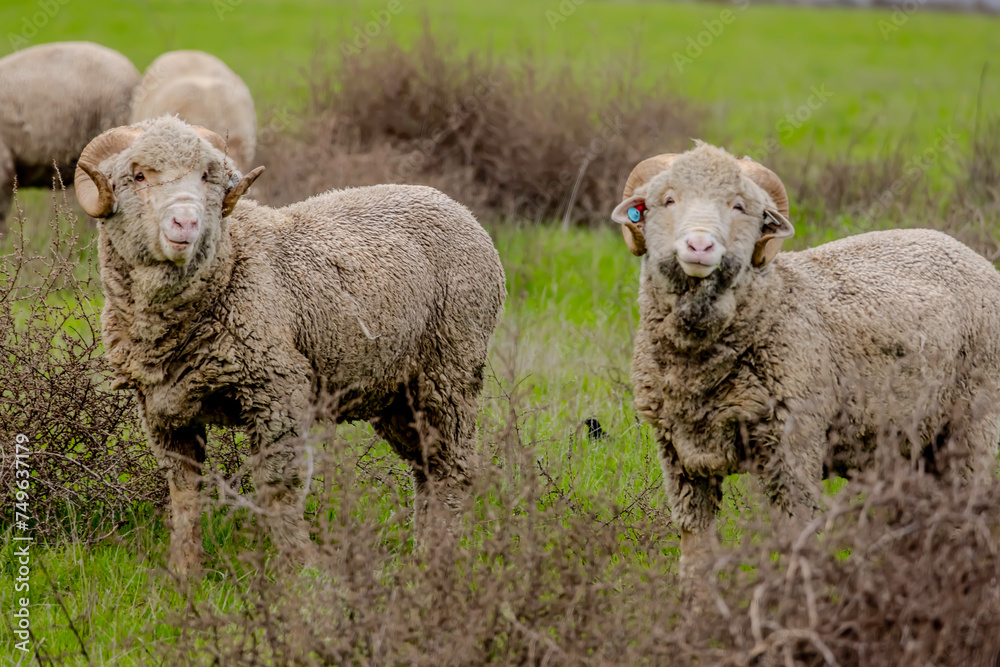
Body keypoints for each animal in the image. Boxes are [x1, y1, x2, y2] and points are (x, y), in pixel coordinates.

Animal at [74, 116, 506, 573]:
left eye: (208, 176)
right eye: (137, 175)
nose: (186, 224)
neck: (230, 266)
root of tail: (456, 207)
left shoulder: (276, 389)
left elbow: (278, 487)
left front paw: (302, 568)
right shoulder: (163, 409)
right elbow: (184, 490)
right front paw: (185, 570)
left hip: (450, 368)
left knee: (453, 468)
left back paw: (441, 557)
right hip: (397, 391)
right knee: (426, 466)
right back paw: (424, 551)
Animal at [611, 142, 1000, 574]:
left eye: (739, 206)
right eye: (667, 200)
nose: (699, 246)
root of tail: (963, 249)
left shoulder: (794, 446)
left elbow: (795, 538)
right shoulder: (680, 456)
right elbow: (696, 552)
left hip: (973, 421)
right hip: (910, 440)